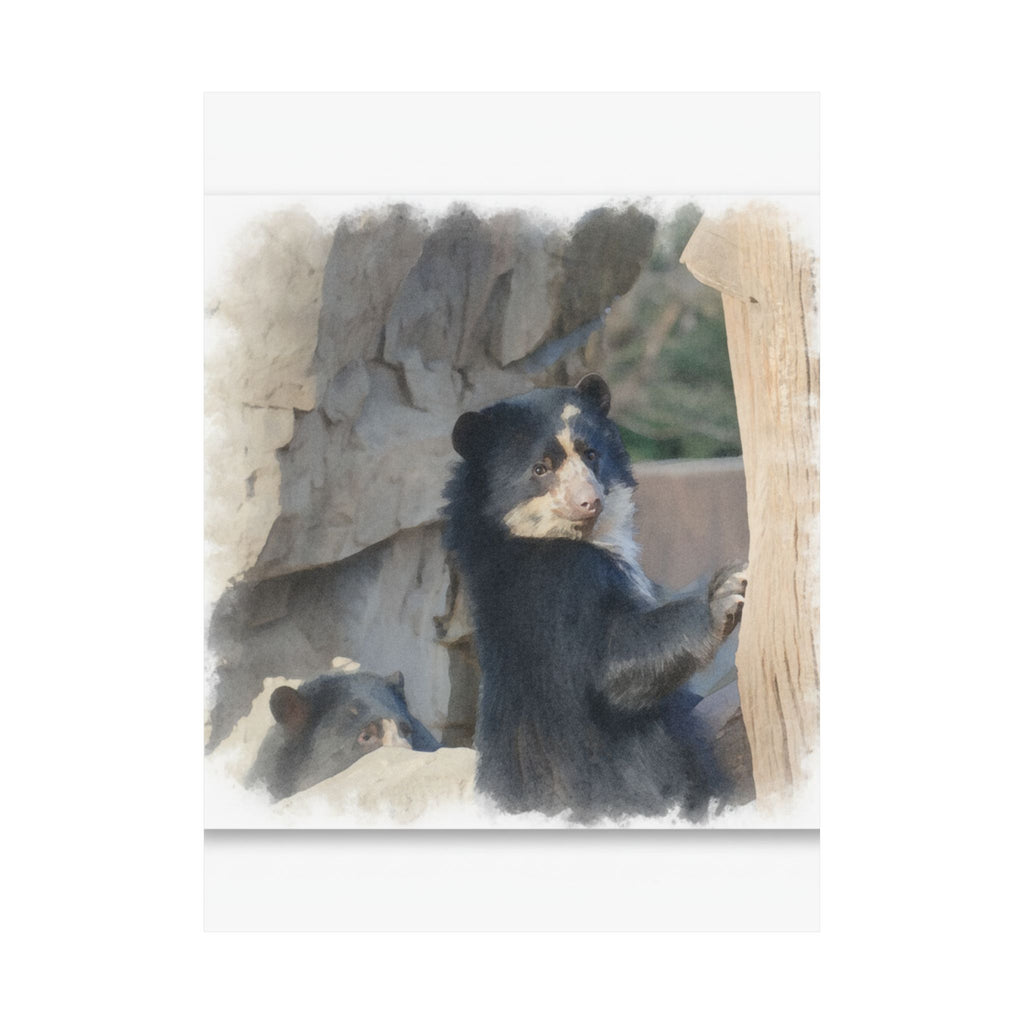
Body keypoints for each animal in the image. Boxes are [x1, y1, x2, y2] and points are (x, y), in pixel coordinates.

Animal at [442, 372, 746, 822]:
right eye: (540, 468)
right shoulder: (562, 586)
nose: (589, 502)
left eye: (591, 454)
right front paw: (727, 591)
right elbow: (613, 663)